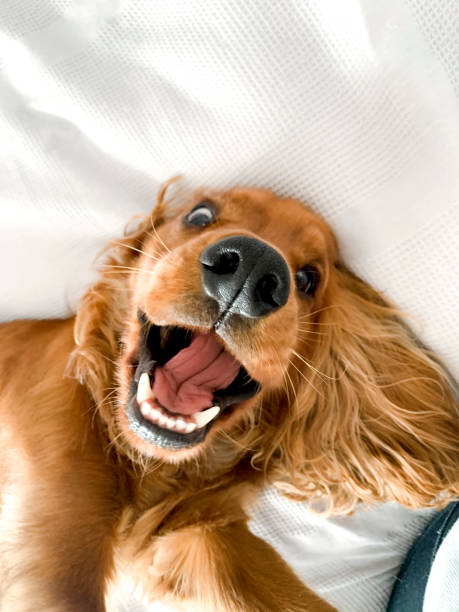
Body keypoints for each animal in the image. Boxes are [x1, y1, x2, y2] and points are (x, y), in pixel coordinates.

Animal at [0, 183, 458, 612]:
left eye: (309, 278)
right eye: (200, 215)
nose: (253, 268)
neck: (150, 468)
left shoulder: (204, 533)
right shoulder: (54, 535)